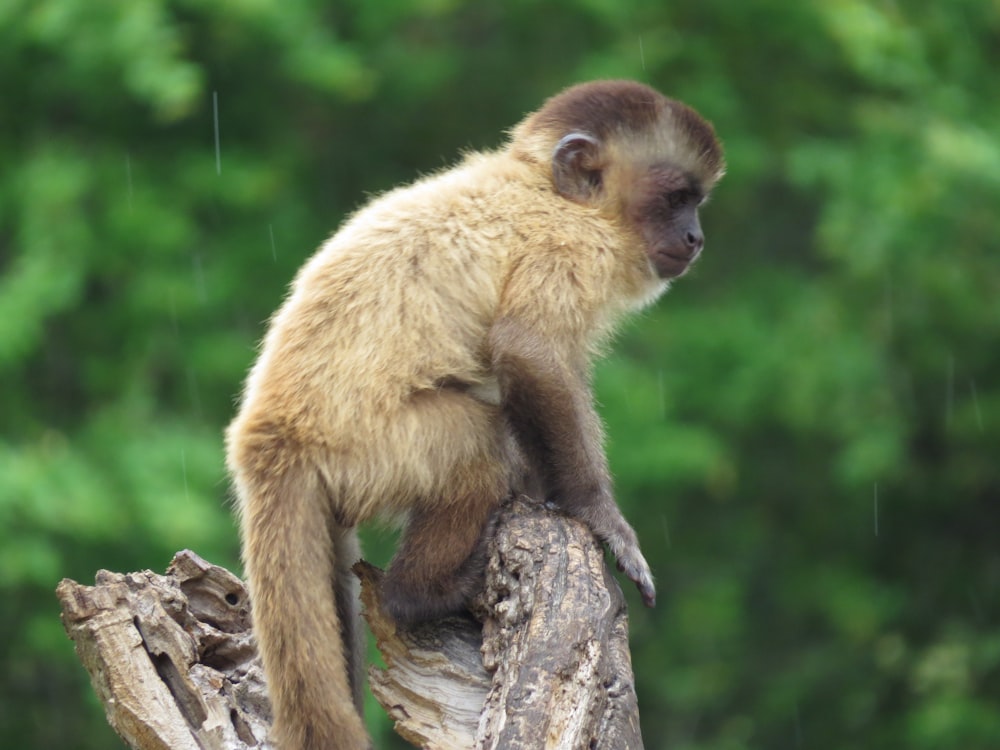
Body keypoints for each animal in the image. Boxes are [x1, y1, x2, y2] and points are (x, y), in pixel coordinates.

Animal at [228, 81, 728, 750]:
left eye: (696, 203)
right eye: (676, 199)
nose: (696, 237)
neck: (546, 189)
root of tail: (267, 440)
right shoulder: (571, 243)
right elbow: (527, 350)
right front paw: (599, 518)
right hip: (370, 447)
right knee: (480, 443)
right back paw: (418, 595)